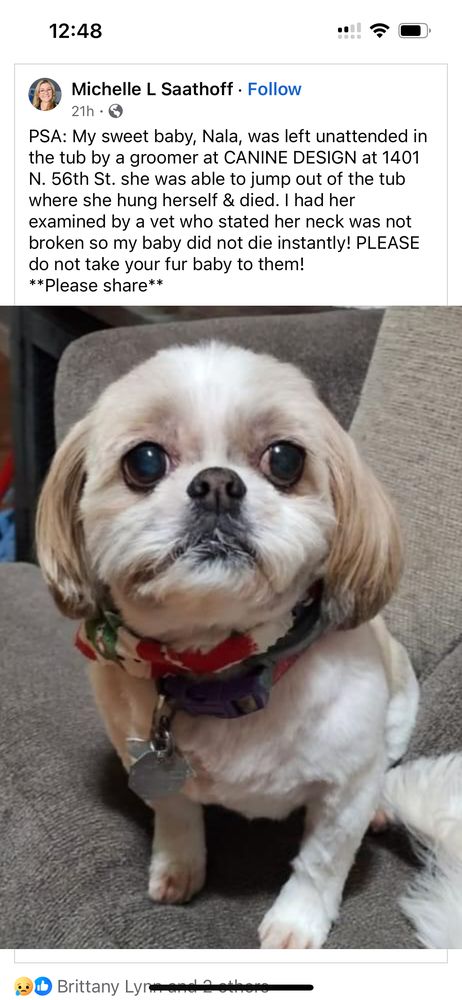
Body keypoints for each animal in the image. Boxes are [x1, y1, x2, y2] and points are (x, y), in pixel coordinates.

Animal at [36, 340, 419, 948]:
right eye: (144, 461)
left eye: (285, 459)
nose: (217, 483)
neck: (223, 669)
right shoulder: (144, 760)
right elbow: (176, 815)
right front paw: (178, 868)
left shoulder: (347, 789)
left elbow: (322, 860)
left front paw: (296, 923)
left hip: (402, 705)